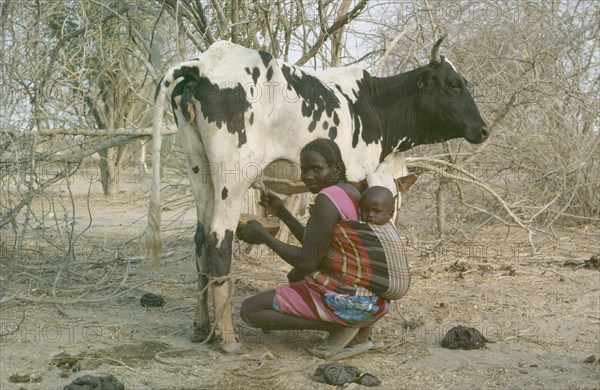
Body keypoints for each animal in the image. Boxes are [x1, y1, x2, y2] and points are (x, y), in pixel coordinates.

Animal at [148, 35, 490, 354]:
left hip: (199, 167)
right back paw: (229, 339)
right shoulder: (362, 176)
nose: (483, 129)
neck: (375, 105)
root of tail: (204, 62)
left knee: (200, 240)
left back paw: (201, 327)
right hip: (233, 175)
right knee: (219, 240)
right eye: (452, 85)